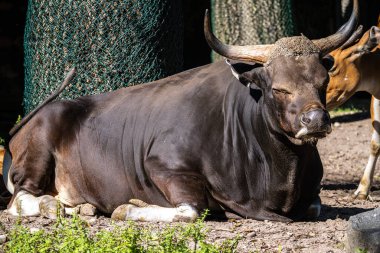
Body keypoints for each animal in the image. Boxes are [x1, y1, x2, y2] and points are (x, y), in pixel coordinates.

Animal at [2, 1, 358, 220]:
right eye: (278, 88)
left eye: (323, 80)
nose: (315, 120)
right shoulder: (163, 166)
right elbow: (191, 210)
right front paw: (127, 208)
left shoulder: (312, 194)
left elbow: (314, 207)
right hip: (36, 156)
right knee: (19, 199)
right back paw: (52, 207)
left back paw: (79, 208)